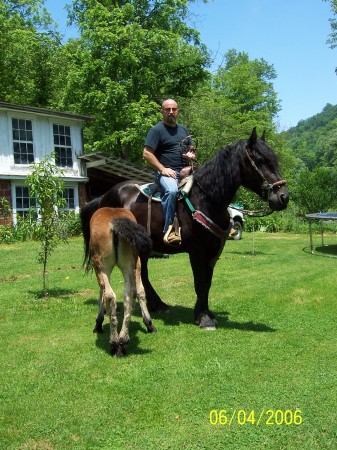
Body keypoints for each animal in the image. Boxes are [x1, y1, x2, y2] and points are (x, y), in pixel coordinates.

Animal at [80, 128, 288, 328]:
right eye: (260, 160)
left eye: (274, 160)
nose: (283, 197)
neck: (206, 199)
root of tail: (105, 196)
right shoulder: (196, 250)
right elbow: (200, 282)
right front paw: (204, 319)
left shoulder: (213, 251)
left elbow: (207, 283)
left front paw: (204, 313)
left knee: (143, 273)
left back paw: (158, 305)